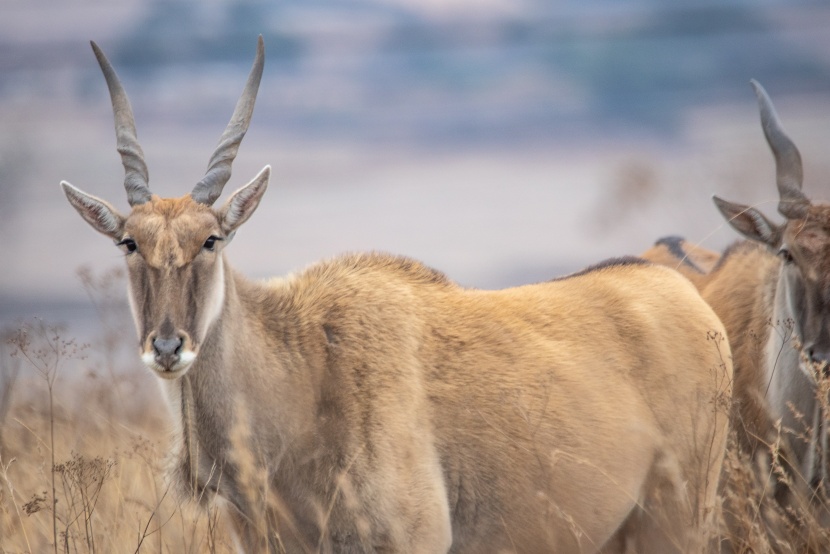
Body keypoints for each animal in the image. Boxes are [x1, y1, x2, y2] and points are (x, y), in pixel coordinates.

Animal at [60, 37, 736, 552]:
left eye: (211, 239)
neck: (305, 365)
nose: (168, 347)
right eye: (129, 241)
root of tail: (686, 297)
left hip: (677, 522)